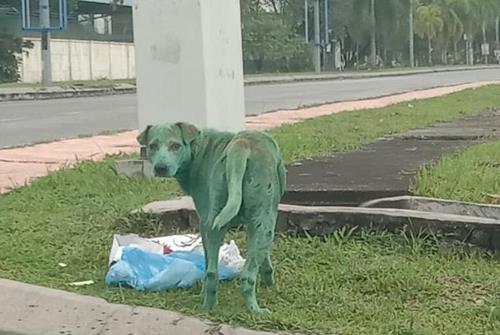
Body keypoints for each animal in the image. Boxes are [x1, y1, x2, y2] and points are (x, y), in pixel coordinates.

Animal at [138, 122, 286, 312]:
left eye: (175, 146)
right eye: (153, 146)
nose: (161, 168)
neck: (197, 148)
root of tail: (240, 146)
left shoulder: (215, 223)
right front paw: (268, 283)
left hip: (222, 224)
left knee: (212, 271)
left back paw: (211, 305)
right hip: (247, 223)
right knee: (240, 274)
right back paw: (251, 309)